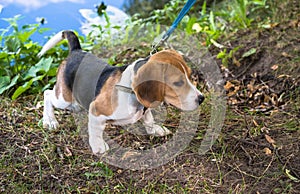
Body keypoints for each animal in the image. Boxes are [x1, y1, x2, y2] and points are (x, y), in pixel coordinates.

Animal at [38, 30, 205, 155]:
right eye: (178, 83)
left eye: (191, 76)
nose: (201, 98)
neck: (131, 91)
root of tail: (76, 51)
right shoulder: (96, 108)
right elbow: (96, 131)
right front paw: (98, 146)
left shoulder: (145, 108)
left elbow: (148, 118)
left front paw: (154, 130)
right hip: (63, 98)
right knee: (47, 93)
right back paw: (50, 121)